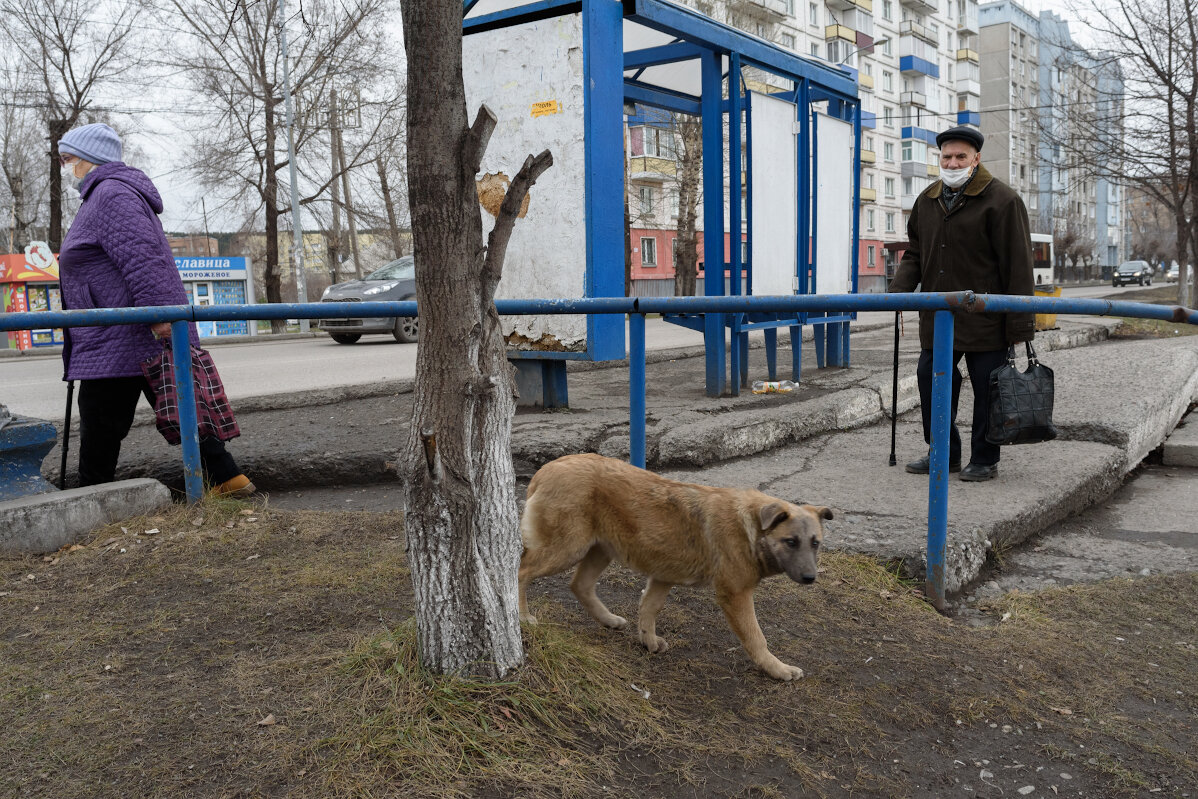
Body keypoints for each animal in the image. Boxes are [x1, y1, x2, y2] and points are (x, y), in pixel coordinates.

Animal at [515, 455, 833, 680]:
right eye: (791, 542)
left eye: (815, 543)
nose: (810, 578)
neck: (752, 527)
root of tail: (547, 468)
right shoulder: (735, 594)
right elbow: (756, 638)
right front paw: (777, 669)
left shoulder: (662, 577)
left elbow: (649, 609)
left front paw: (648, 641)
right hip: (567, 549)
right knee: (520, 572)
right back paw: (522, 616)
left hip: (599, 550)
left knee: (579, 585)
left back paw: (608, 619)